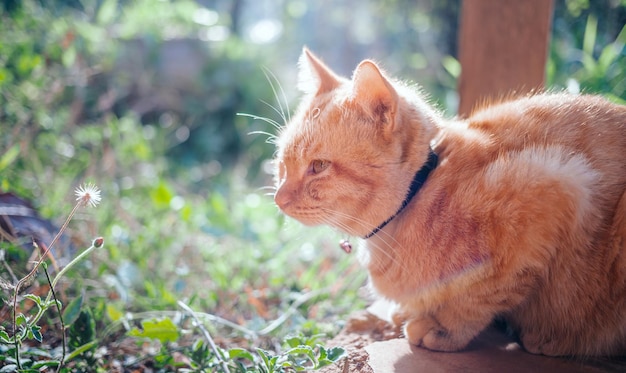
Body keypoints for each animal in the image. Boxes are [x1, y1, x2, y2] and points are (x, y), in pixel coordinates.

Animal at [272, 48, 624, 354]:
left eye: (318, 166)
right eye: (282, 164)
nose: (278, 199)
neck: (422, 192)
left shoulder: (557, 186)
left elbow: (482, 295)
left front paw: (441, 326)